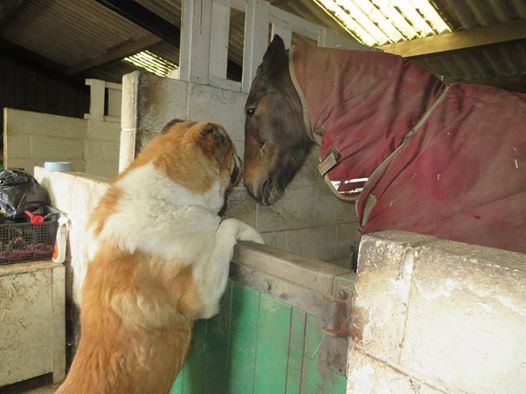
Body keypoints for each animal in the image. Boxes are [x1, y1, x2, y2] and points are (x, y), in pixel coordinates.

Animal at [54, 118, 264, 392]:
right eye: (230, 148)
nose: (241, 157)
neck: (168, 198)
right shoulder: (201, 296)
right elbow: (225, 226)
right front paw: (255, 235)